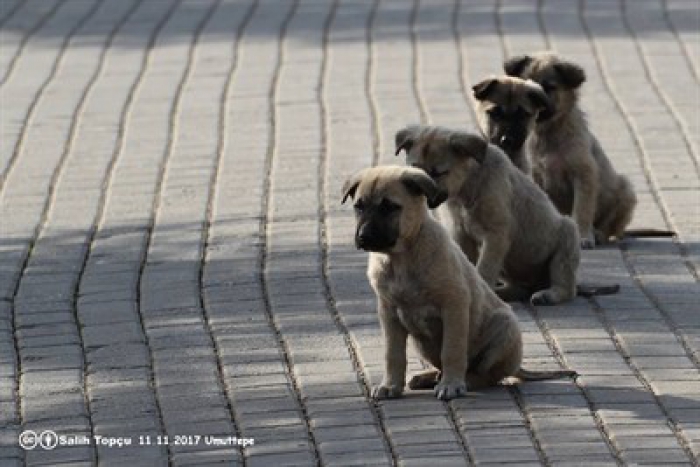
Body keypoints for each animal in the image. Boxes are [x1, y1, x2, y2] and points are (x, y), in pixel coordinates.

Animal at [340, 166, 576, 400]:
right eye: (358, 206)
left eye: (389, 207)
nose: (363, 237)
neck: (401, 258)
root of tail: (517, 365)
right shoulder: (389, 314)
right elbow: (393, 354)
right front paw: (390, 385)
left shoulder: (454, 306)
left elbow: (452, 350)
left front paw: (451, 384)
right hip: (421, 341)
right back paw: (427, 376)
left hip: (504, 327)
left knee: (489, 375)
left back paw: (465, 380)